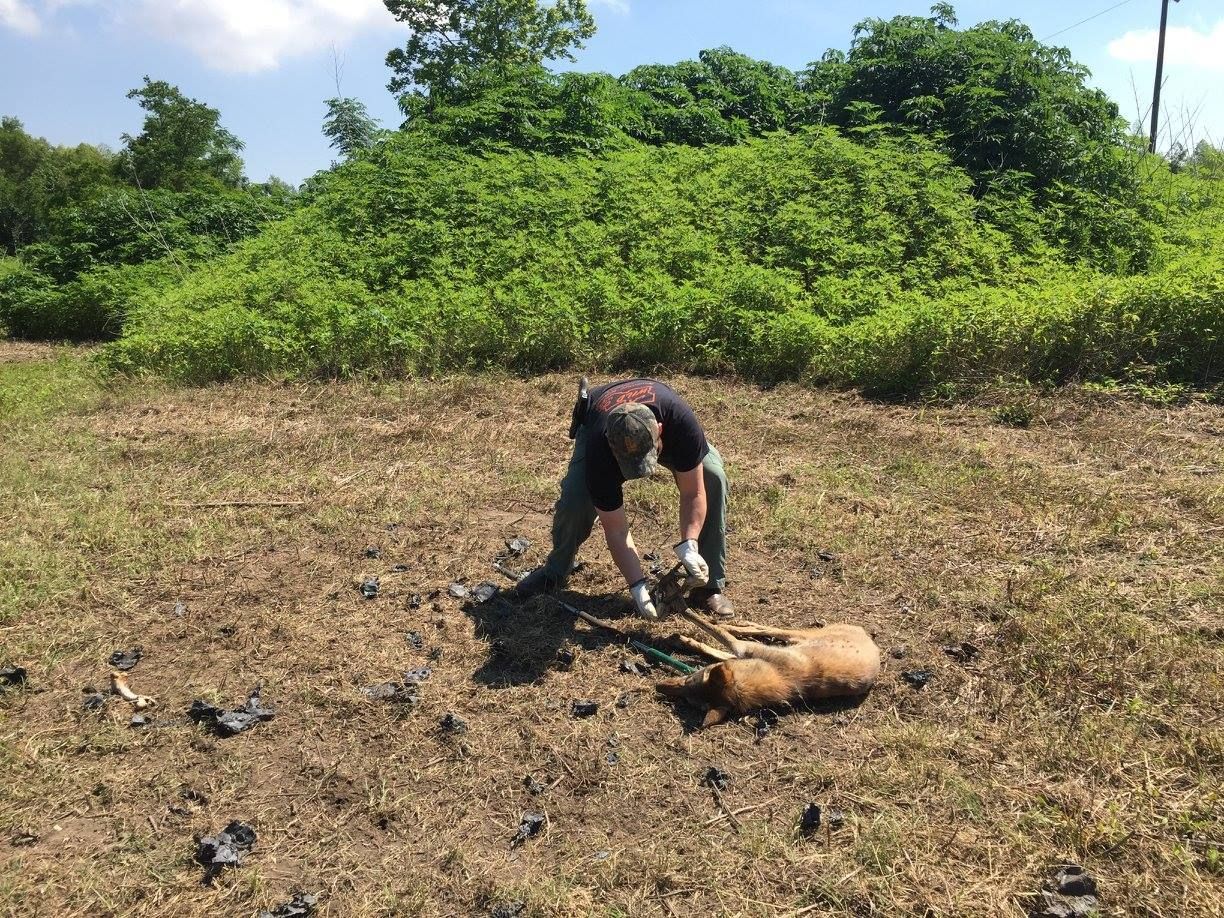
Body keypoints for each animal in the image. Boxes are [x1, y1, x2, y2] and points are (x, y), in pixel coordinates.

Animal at [655, 612, 881, 728]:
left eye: (691, 677)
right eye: (687, 699)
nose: (658, 687)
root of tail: (870, 640)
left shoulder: (745, 649)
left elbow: (717, 632)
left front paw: (686, 614)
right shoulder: (743, 656)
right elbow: (717, 649)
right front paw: (686, 641)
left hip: (804, 636)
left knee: (768, 629)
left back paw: (736, 625)